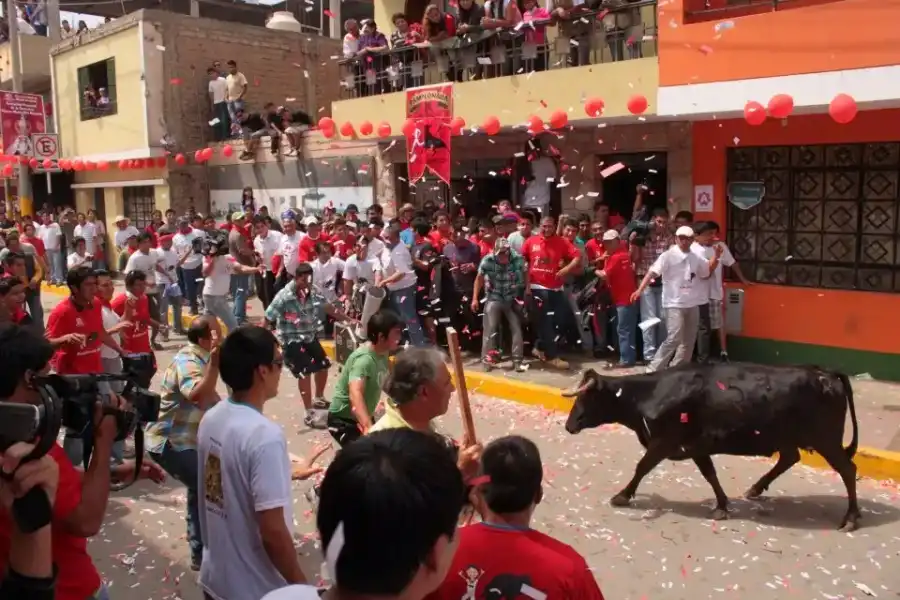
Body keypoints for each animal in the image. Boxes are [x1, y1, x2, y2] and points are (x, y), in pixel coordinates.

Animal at [568, 360, 860, 528]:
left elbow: (642, 467)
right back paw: (755, 489)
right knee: (790, 457)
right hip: (788, 437)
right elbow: (710, 474)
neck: (650, 393)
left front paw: (622, 495)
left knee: (848, 470)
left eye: (585, 397)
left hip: (827, 440)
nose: (569, 425)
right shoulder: (696, 446)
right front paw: (721, 505)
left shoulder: (664, 442)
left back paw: (851, 517)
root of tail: (827, 374)